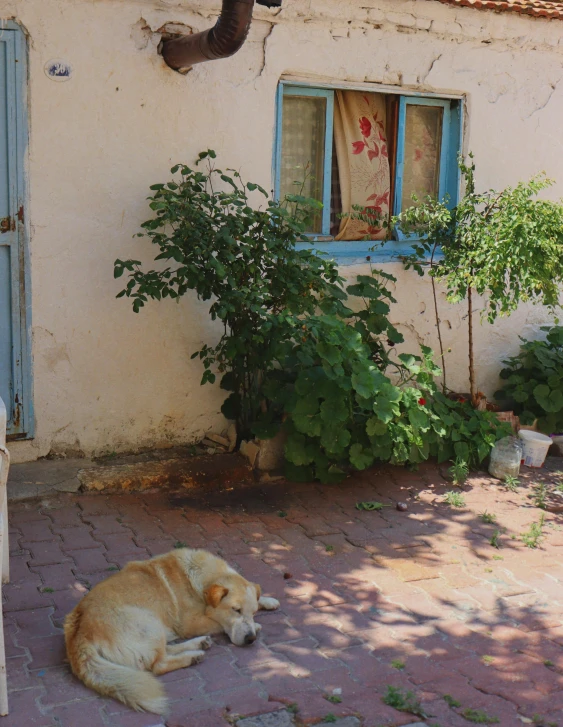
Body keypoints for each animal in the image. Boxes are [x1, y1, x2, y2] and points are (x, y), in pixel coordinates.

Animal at [64, 548, 280, 712]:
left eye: (252, 612)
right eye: (235, 610)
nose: (251, 639)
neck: (200, 579)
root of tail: (78, 636)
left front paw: (268, 601)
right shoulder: (191, 623)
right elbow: (218, 623)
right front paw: (257, 625)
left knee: (164, 652)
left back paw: (198, 645)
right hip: (149, 623)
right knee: (157, 665)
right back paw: (192, 656)